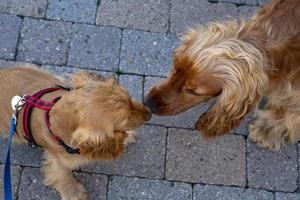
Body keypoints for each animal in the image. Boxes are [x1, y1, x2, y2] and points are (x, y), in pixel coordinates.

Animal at [0, 64, 150, 200]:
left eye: (130, 99)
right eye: (124, 120)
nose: (149, 114)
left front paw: (127, 136)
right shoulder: (57, 160)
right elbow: (63, 175)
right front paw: (73, 193)